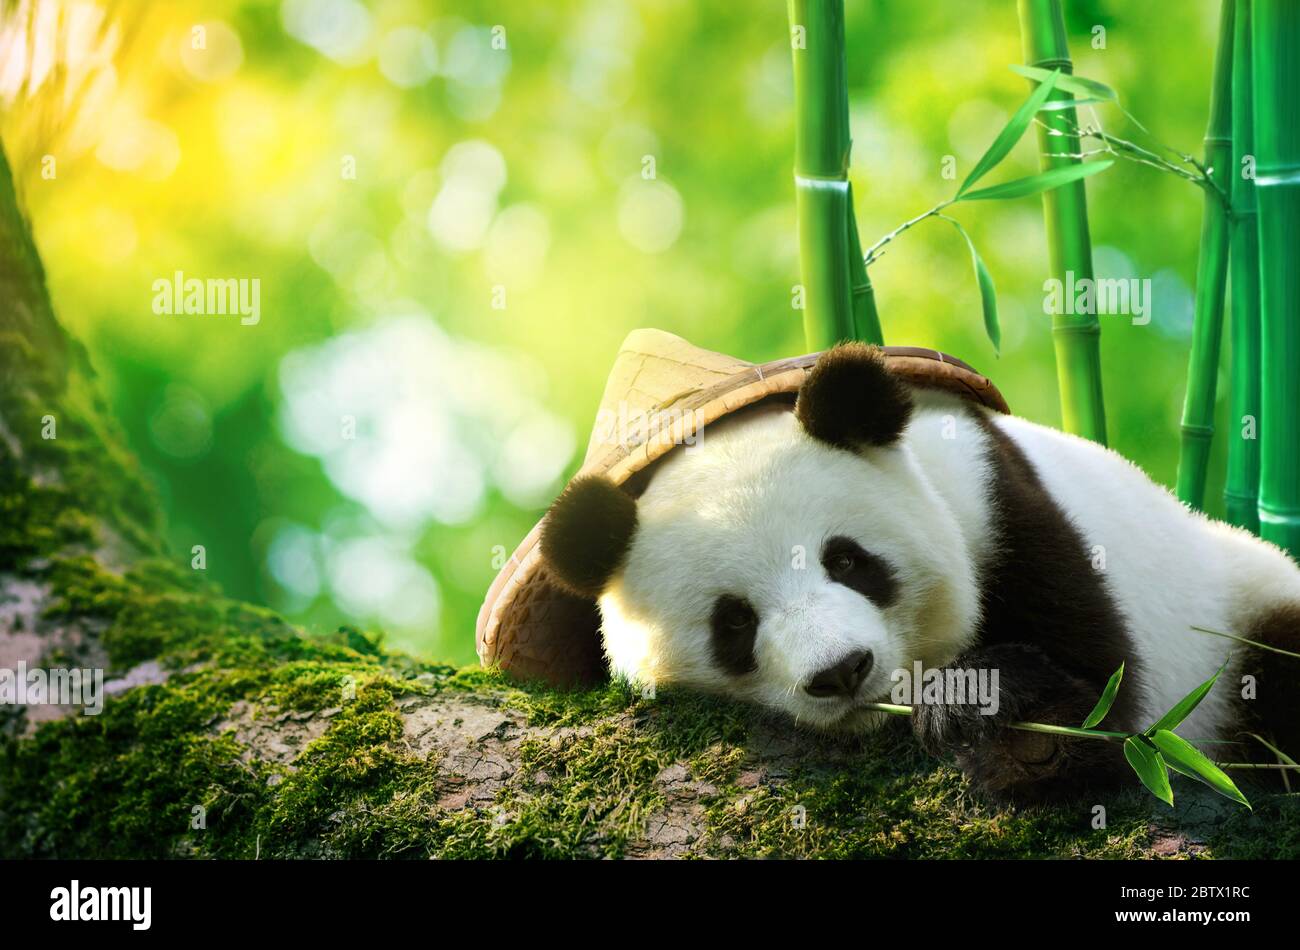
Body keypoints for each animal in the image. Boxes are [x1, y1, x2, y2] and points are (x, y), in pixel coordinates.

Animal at [540, 342, 1300, 801]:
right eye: (734, 623)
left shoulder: (1003, 507)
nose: (842, 670)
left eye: (847, 560)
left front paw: (994, 714)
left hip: (1236, 613)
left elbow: (1111, 713)